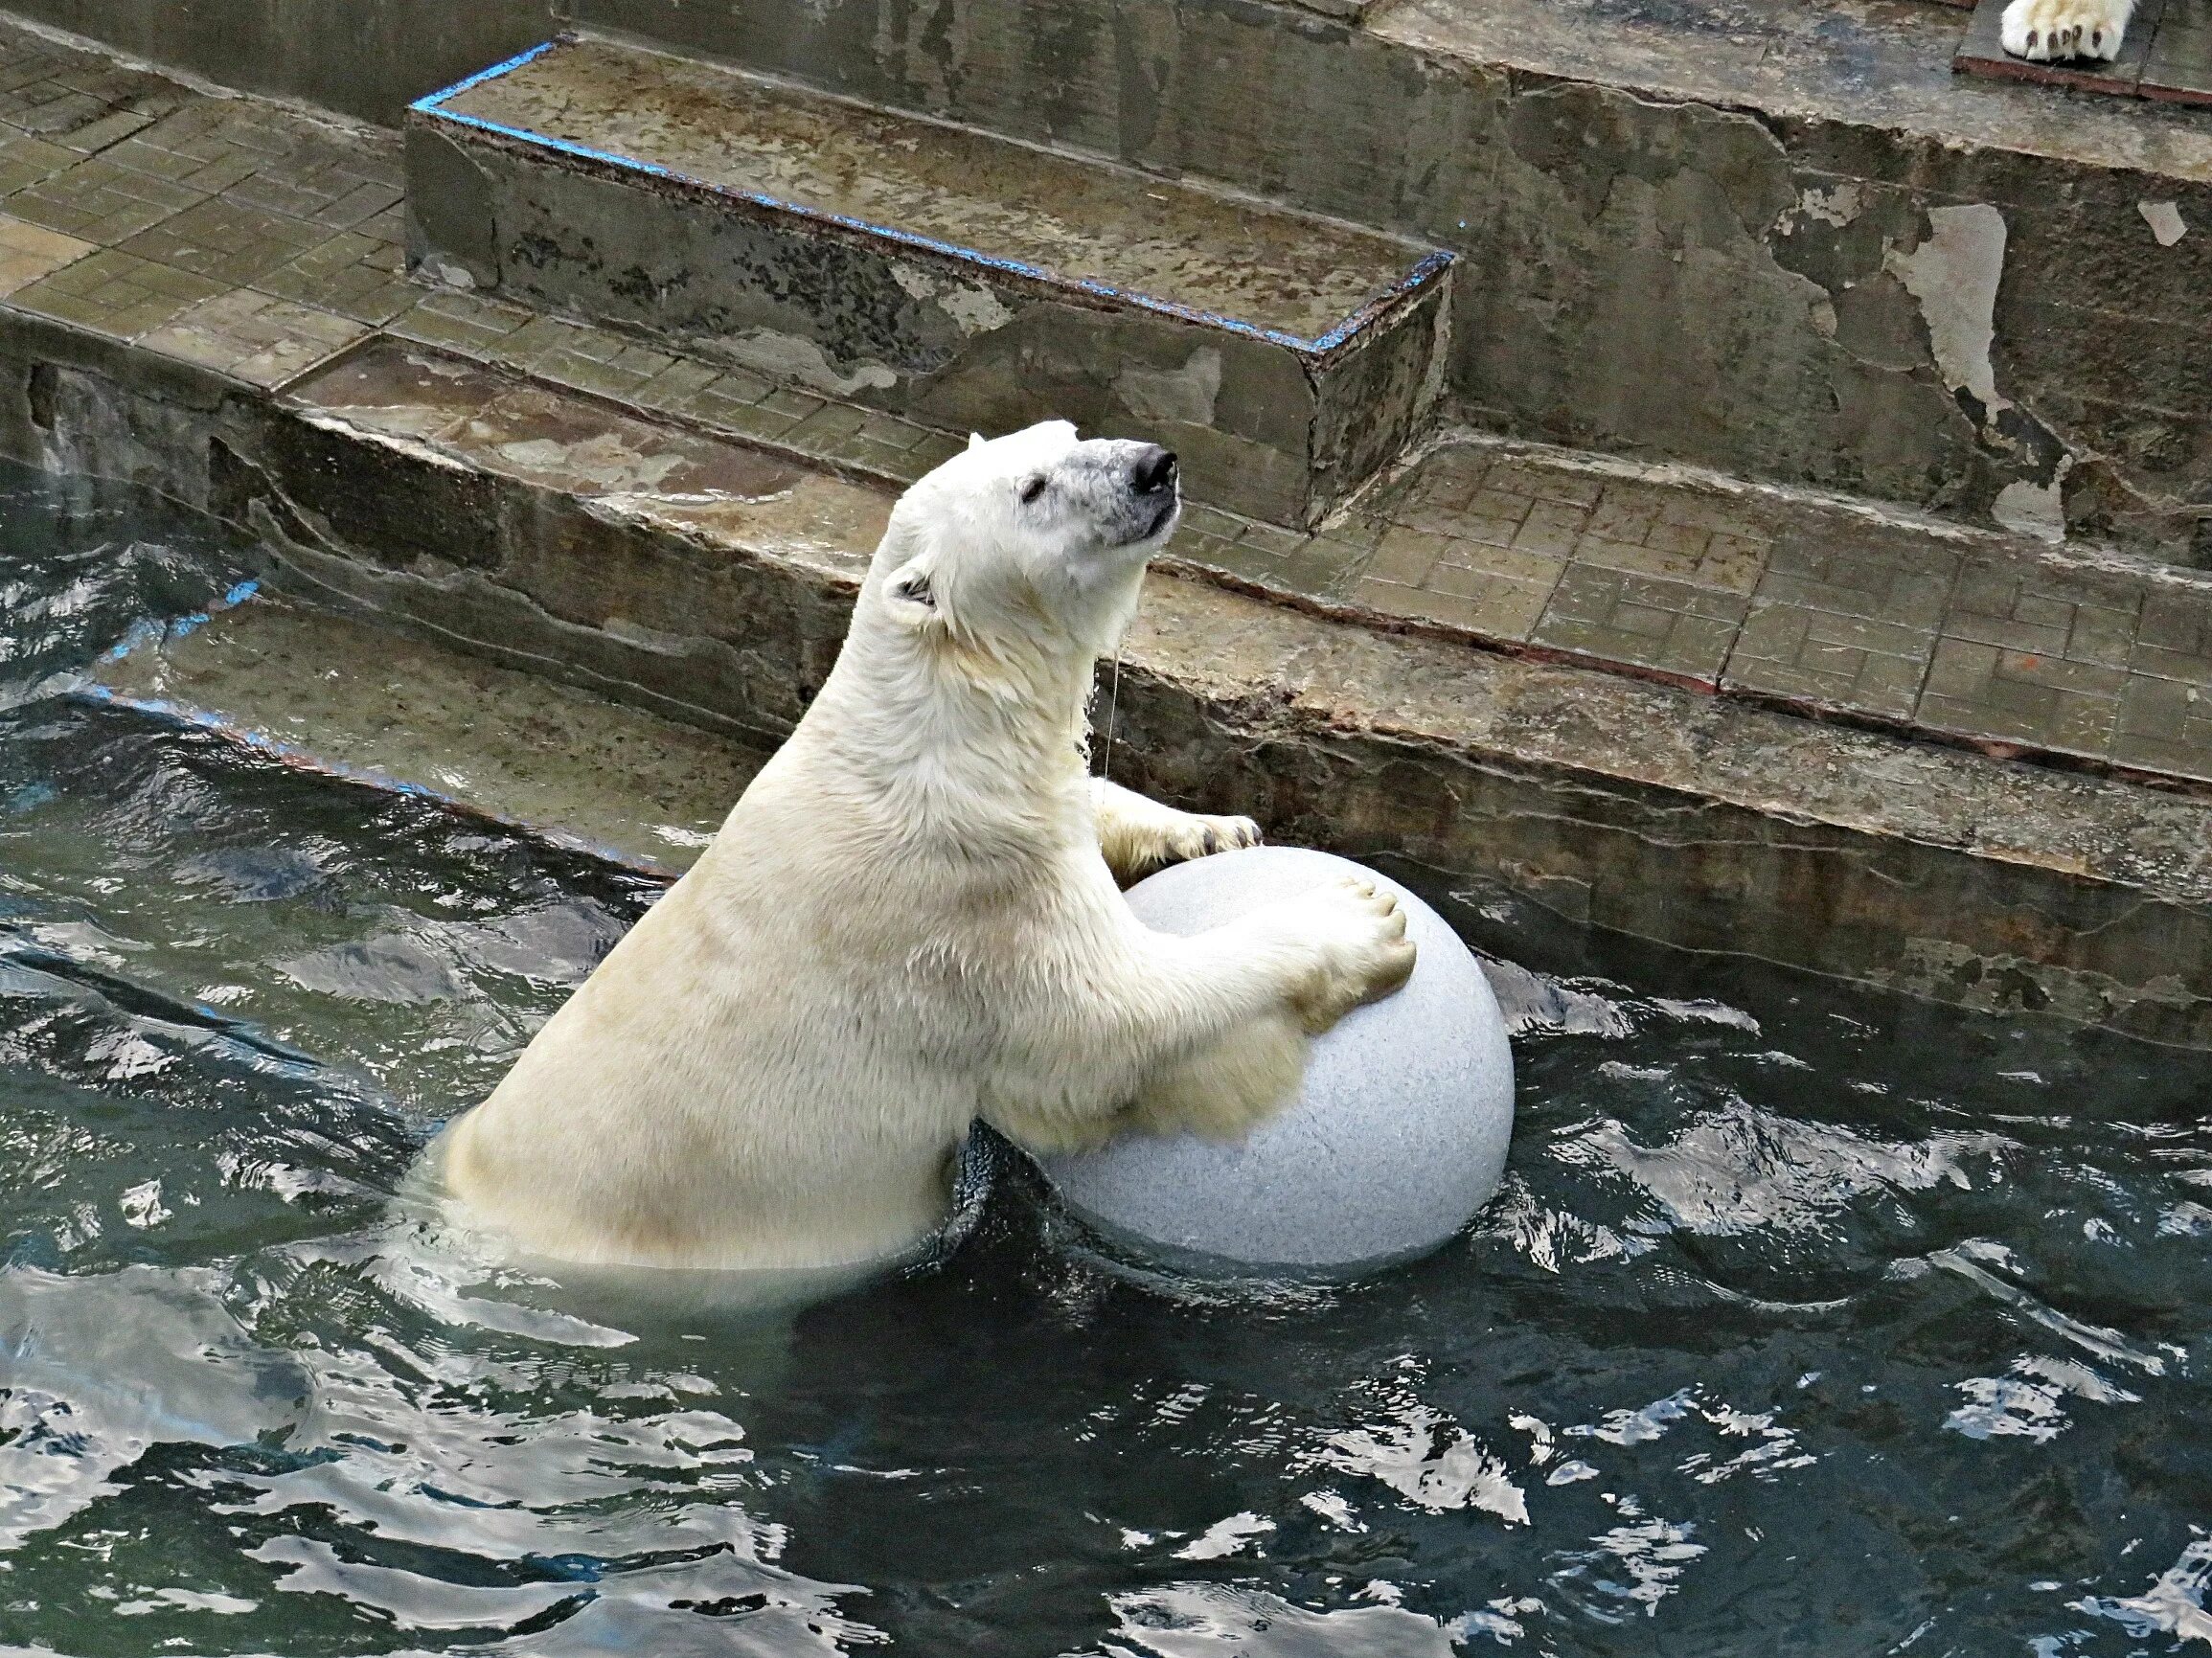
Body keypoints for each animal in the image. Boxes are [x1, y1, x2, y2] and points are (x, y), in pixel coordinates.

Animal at [426, 418, 1415, 1273]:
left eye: (1067, 432)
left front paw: (1209, 828)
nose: (1153, 466)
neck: (928, 729)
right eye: (1032, 488)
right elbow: (1111, 1022)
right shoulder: (966, 905)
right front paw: (1361, 918)